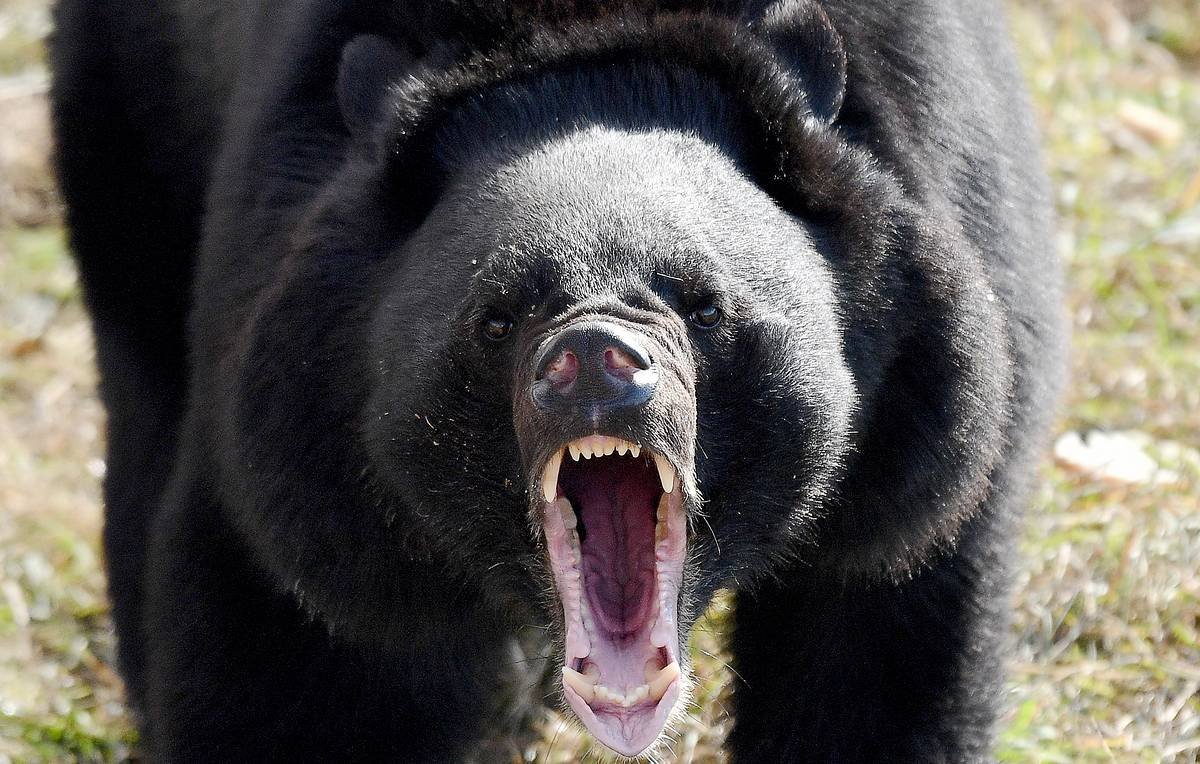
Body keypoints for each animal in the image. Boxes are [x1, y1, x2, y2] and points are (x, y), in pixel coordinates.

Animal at [49, 0, 1065, 759]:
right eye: (498, 317)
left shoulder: (925, 418)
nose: (593, 363)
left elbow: (881, 650)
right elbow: (292, 660)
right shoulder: (293, 440)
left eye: (703, 304)